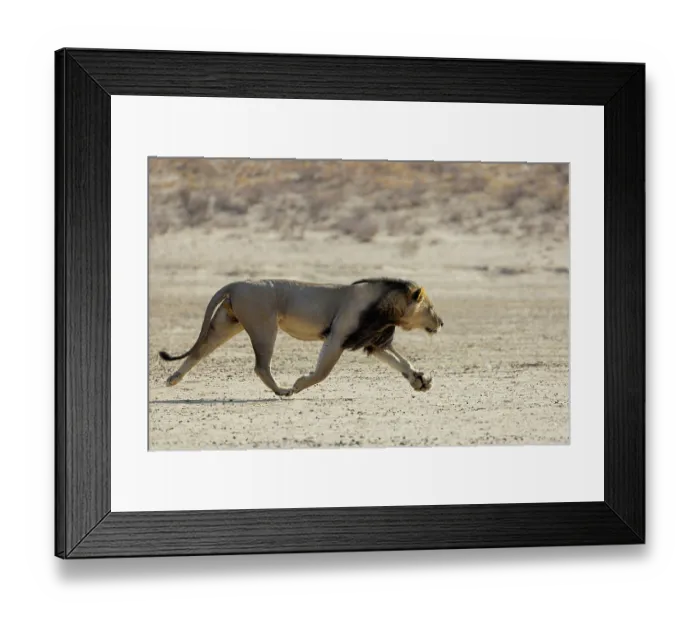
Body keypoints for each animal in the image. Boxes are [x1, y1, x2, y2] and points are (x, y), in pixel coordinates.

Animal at [158, 278, 444, 396]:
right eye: (431, 308)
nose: (441, 322)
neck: (388, 309)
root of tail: (236, 283)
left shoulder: (372, 341)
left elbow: (401, 362)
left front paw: (420, 381)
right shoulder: (338, 336)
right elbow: (322, 373)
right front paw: (298, 384)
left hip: (226, 324)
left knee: (199, 350)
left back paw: (173, 379)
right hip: (264, 326)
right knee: (261, 366)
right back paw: (283, 391)